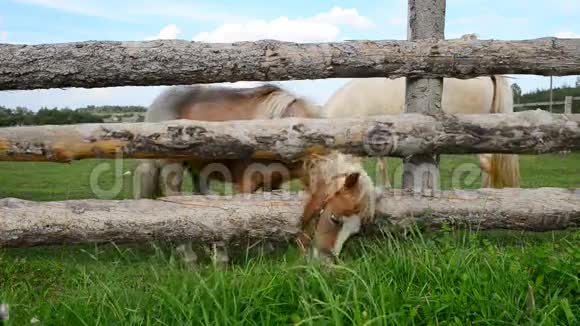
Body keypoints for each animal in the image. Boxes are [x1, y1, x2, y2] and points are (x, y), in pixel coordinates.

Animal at [132, 84, 376, 260]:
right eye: (334, 219)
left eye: (355, 231)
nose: (327, 261)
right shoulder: (246, 184)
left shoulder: (274, 183)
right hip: (171, 168)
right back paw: (189, 255)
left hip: (198, 171)